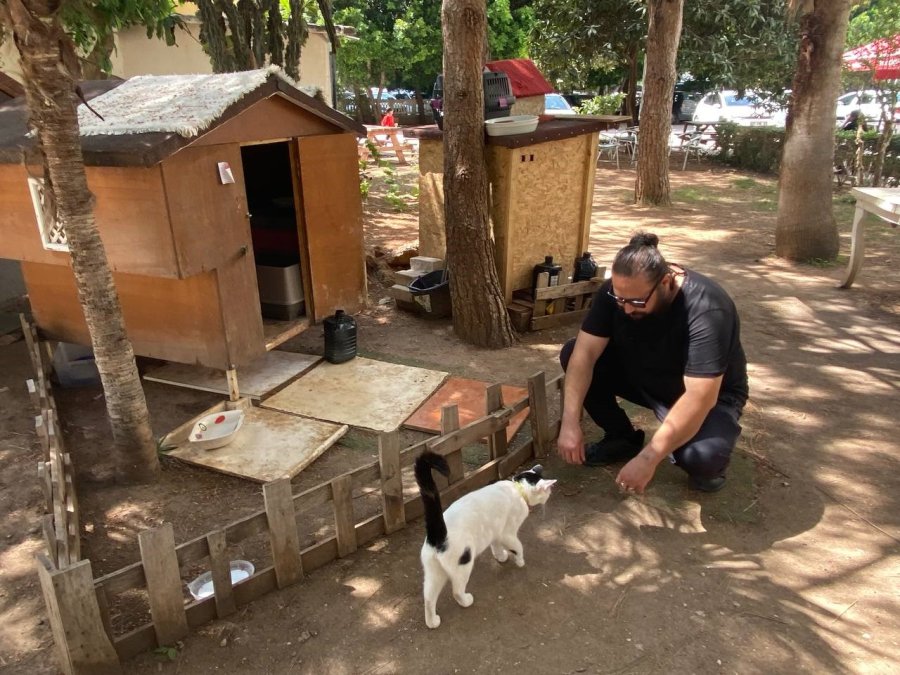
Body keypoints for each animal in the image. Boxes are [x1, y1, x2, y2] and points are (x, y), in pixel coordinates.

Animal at [414, 452, 556, 632]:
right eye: (548, 492)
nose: (549, 497)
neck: (518, 489)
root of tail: (439, 533)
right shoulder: (507, 533)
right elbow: (518, 547)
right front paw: (520, 561)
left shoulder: (495, 532)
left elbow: (496, 546)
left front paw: (501, 557)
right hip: (463, 565)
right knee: (456, 591)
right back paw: (466, 600)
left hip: (434, 573)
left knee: (428, 598)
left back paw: (432, 622)